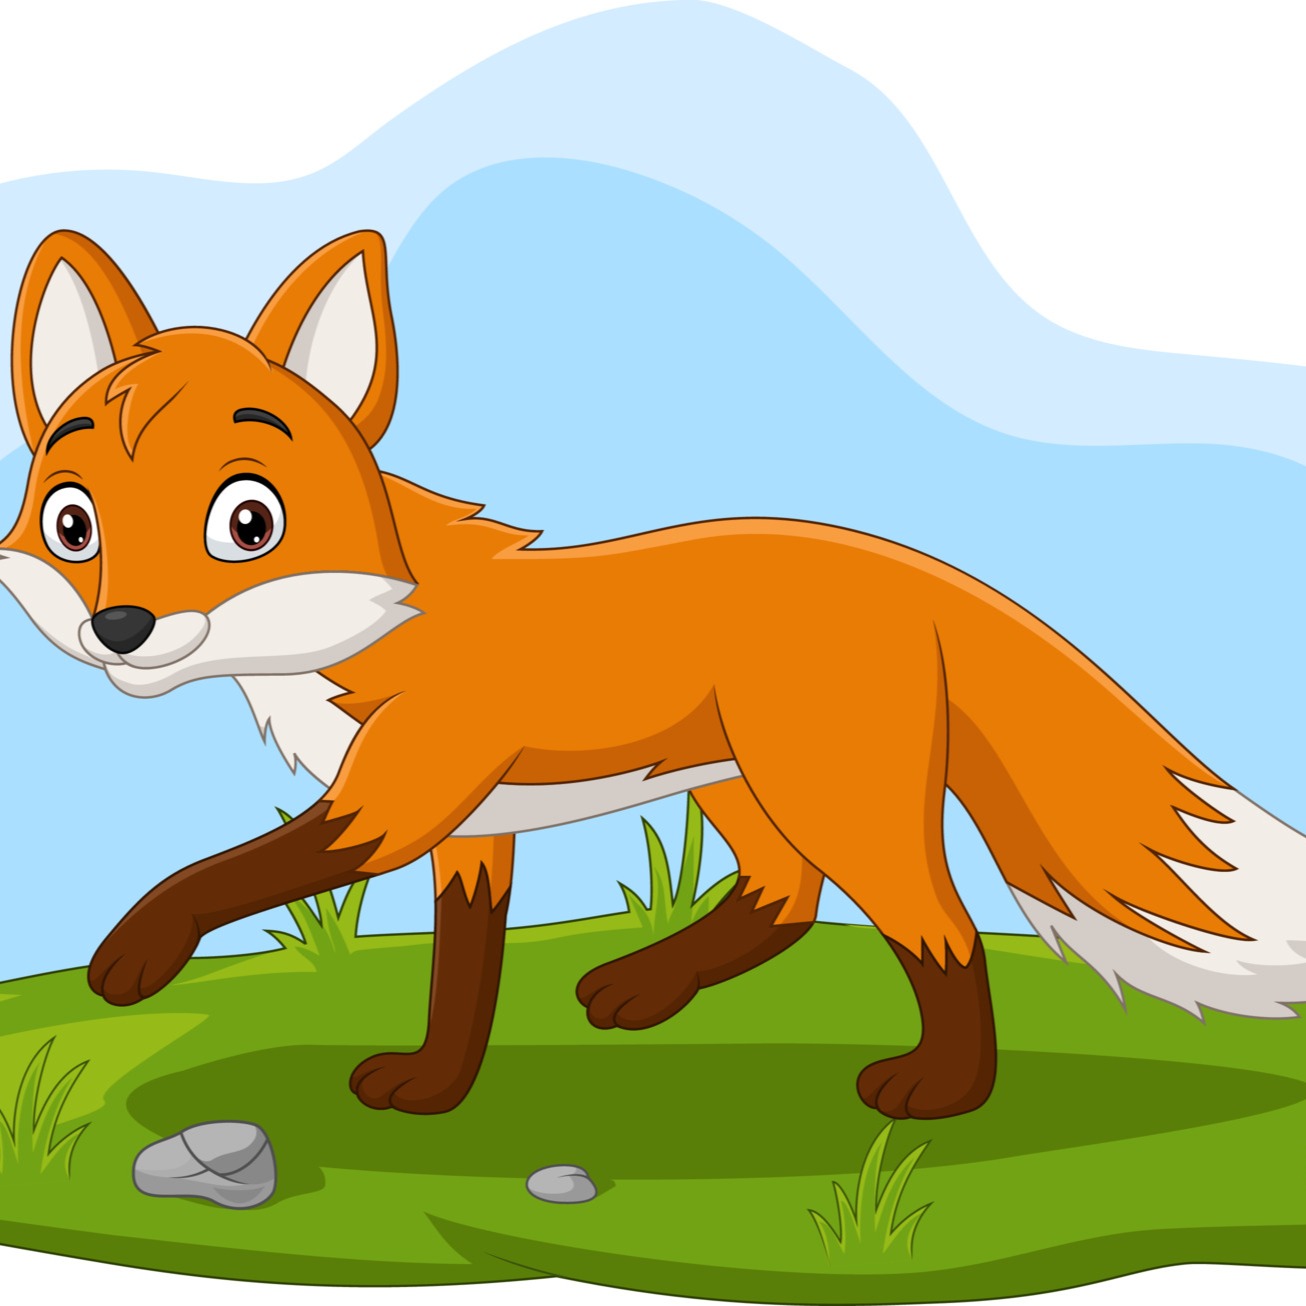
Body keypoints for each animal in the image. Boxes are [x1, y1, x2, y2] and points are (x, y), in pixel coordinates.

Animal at [4, 229, 1305, 1122]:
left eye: (248, 522)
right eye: (73, 524)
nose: (121, 625)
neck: (373, 627)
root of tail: (914, 566)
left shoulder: (394, 799)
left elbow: (219, 872)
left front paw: (135, 955)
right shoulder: (471, 830)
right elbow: (463, 971)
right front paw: (434, 1087)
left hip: (831, 792)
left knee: (937, 931)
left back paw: (937, 1092)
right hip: (736, 783)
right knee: (786, 898)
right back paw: (642, 987)